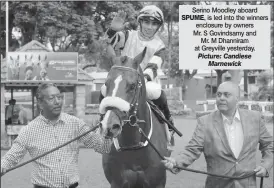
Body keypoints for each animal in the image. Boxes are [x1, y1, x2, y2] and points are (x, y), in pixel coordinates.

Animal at [98, 46, 171, 188]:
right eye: (106, 83)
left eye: (132, 86)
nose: (110, 126)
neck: (133, 146)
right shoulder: (117, 182)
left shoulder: (158, 182)